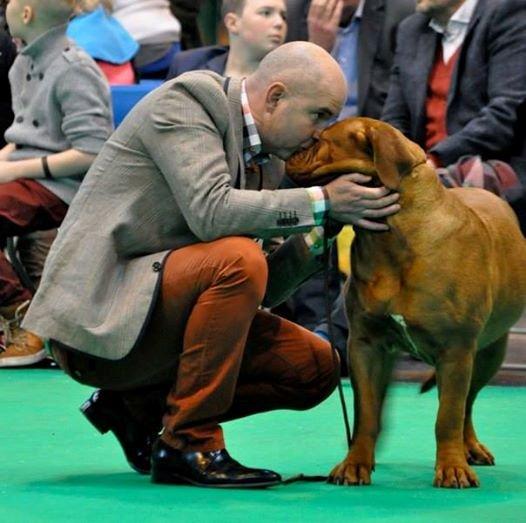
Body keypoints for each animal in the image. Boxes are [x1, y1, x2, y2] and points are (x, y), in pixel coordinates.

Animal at [288, 116, 526, 490]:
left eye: (319, 140)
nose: (292, 152)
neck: (394, 237)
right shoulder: (366, 346)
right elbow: (367, 412)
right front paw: (355, 464)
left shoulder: (456, 350)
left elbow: (448, 415)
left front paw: (452, 468)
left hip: (488, 353)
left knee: (467, 404)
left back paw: (470, 449)